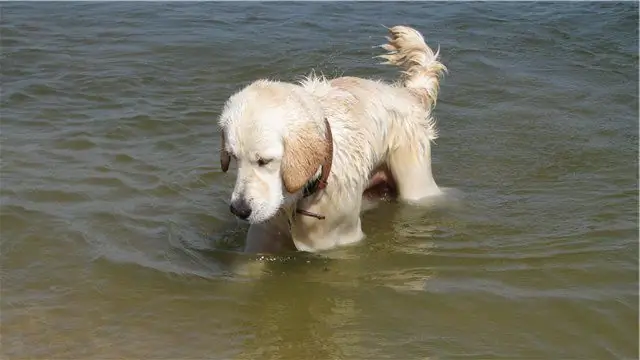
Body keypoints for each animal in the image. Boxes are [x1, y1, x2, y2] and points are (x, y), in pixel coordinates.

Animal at [218, 26, 448, 253]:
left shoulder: (340, 238)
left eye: (264, 161)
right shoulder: (263, 235)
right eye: (233, 158)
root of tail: (407, 94)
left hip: (415, 183)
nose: (239, 210)